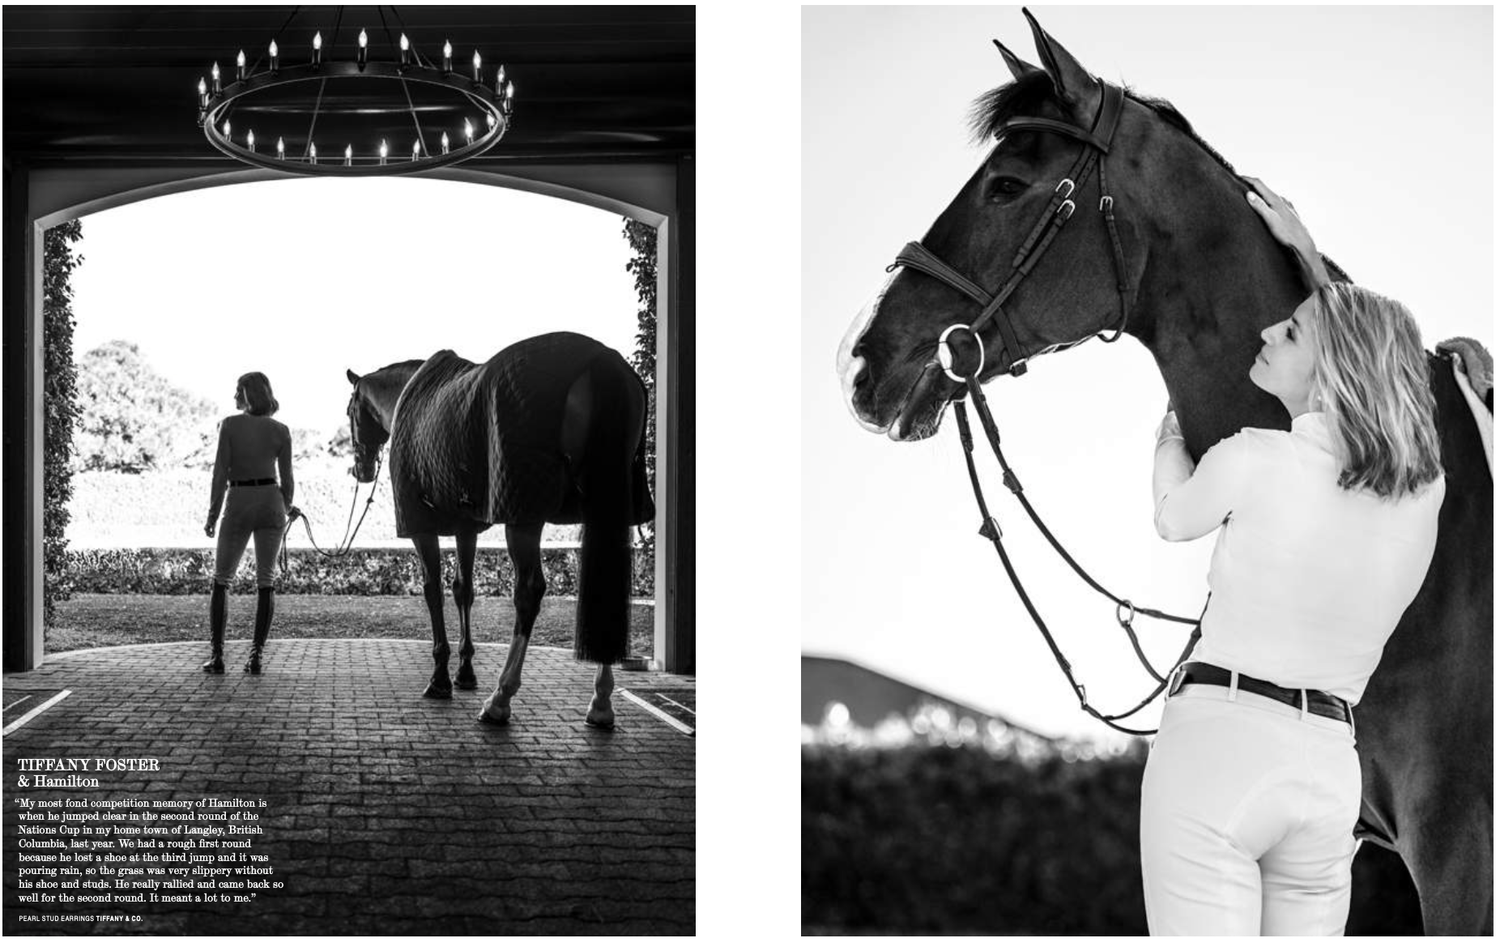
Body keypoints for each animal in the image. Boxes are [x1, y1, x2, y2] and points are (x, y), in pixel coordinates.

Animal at [344, 331, 652, 728]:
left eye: (350, 412)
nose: (361, 469)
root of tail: (599, 358)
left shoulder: (420, 526)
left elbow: (432, 591)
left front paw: (440, 678)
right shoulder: (467, 527)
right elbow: (463, 590)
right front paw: (465, 672)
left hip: (524, 516)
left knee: (528, 592)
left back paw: (500, 699)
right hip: (605, 508)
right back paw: (600, 703)